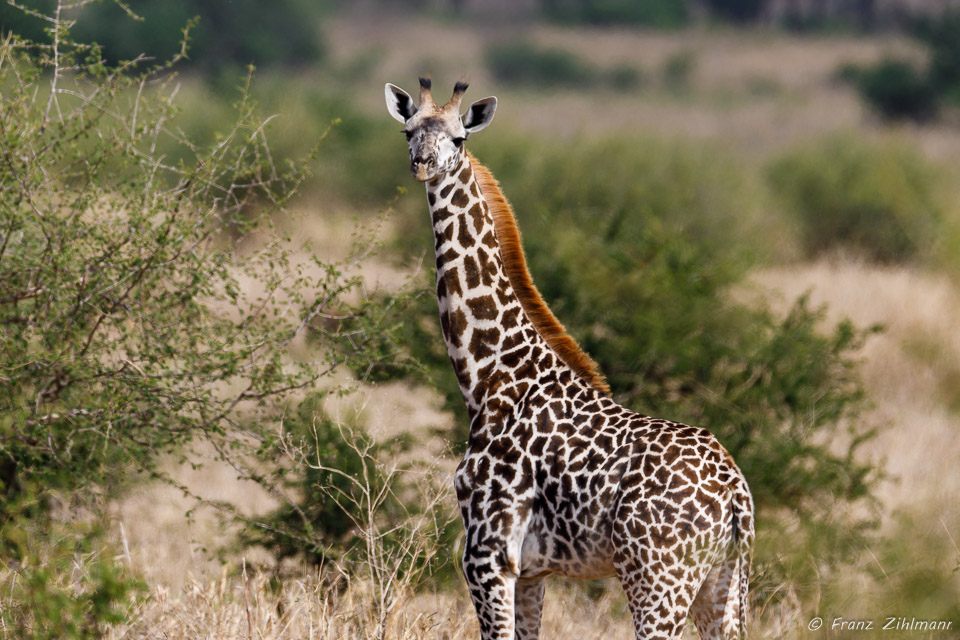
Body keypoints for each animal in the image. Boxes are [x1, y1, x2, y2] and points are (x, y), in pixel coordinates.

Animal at [386, 79, 752, 640]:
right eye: (409, 130)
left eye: (459, 138)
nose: (423, 164)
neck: (489, 375)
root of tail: (735, 493)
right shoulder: (533, 570)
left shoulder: (486, 554)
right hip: (723, 585)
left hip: (656, 581)